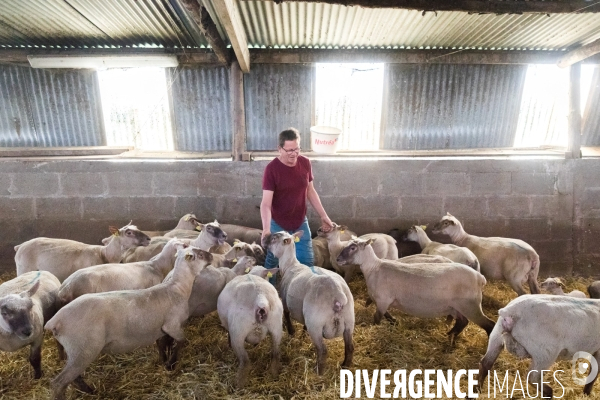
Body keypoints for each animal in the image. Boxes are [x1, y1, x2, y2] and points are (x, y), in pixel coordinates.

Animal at [15, 223, 151, 282]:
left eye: (137, 228)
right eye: (129, 232)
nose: (149, 239)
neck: (105, 254)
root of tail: (20, 245)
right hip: (24, 268)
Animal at [45, 247, 213, 400]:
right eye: (200, 254)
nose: (211, 255)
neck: (177, 288)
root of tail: (55, 320)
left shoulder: (161, 329)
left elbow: (162, 344)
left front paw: (164, 361)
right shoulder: (173, 325)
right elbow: (181, 341)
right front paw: (171, 364)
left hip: (76, 352)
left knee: (72, 378)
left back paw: (88, 390)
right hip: (83, 350)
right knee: (58, 383)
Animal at [264, 230, 356, 374]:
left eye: (274, 238)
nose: (264, 238)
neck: (290, 265)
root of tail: (337, 295)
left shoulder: (285, 301)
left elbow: (286, 315)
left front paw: (291, 332)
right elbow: (304, 326)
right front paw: (302, 334)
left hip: (316, 324)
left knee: (323, 350)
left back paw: (318, 371)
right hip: (349, 320)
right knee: (350, 347)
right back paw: (345, 366)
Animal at [336, 236, 494, 346]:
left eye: (353, 248)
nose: (337, 259)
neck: (374, 268)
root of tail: (480, 278)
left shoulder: (383, 299)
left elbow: (377, 318)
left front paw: (376, 327)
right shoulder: (383, 301)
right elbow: (385, 314)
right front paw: (394, 321)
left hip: (470, 306)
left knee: (489, 325)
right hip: (457, 307)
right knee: (463, 322)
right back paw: (450, 334)